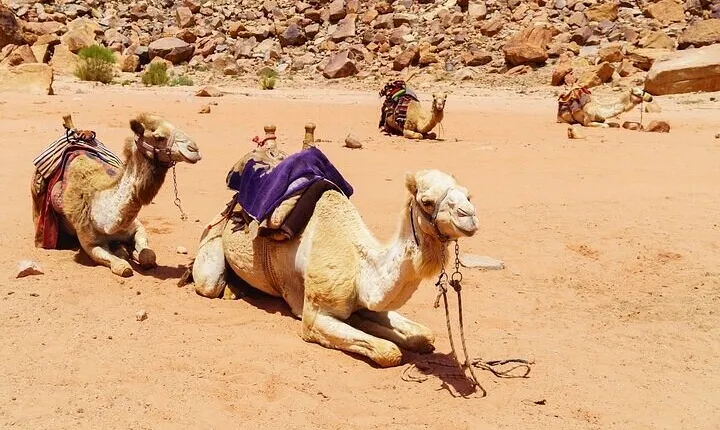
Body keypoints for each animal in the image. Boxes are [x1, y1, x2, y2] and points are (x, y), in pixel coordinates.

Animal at [30, 113, 202, 277]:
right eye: (159, 137)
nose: (194, 149)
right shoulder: (90, 244)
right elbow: (121, 266)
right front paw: (124, 256)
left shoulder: (136, 226)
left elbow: (148, 256)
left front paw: (132, 252)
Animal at [186, 165, 479, 367]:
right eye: (427, 201)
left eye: (468, 195)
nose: (470, 217)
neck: (359, 262)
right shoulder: (314, 317)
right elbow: (389, 352)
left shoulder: (368, 301)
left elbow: (424, 335)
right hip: (211, 243)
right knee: (209, 283)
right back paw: (229, 290)